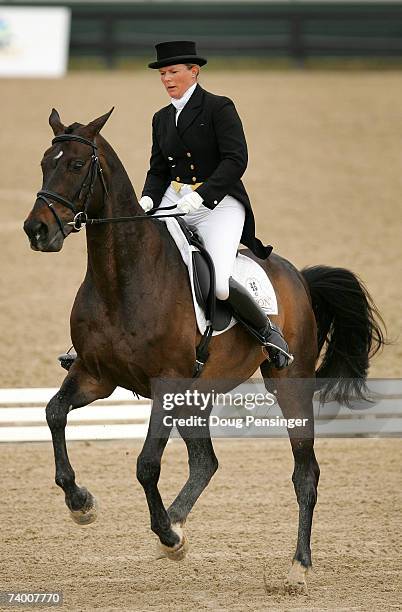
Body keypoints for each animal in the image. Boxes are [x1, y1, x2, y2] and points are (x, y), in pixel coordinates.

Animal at [23, 109, 384, 592]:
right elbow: (54, 413)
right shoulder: (96, 376)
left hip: (288, 384)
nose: (37, 230)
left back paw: (297, 568)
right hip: (196, 395)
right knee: (205, 463)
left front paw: (164, 534)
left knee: (304, 474)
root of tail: (297, 276)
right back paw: (177, 527)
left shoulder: (164, 385)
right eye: (45, 163)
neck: (122, 276)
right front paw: (82, 503)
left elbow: (146, 465)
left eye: (78, 165)